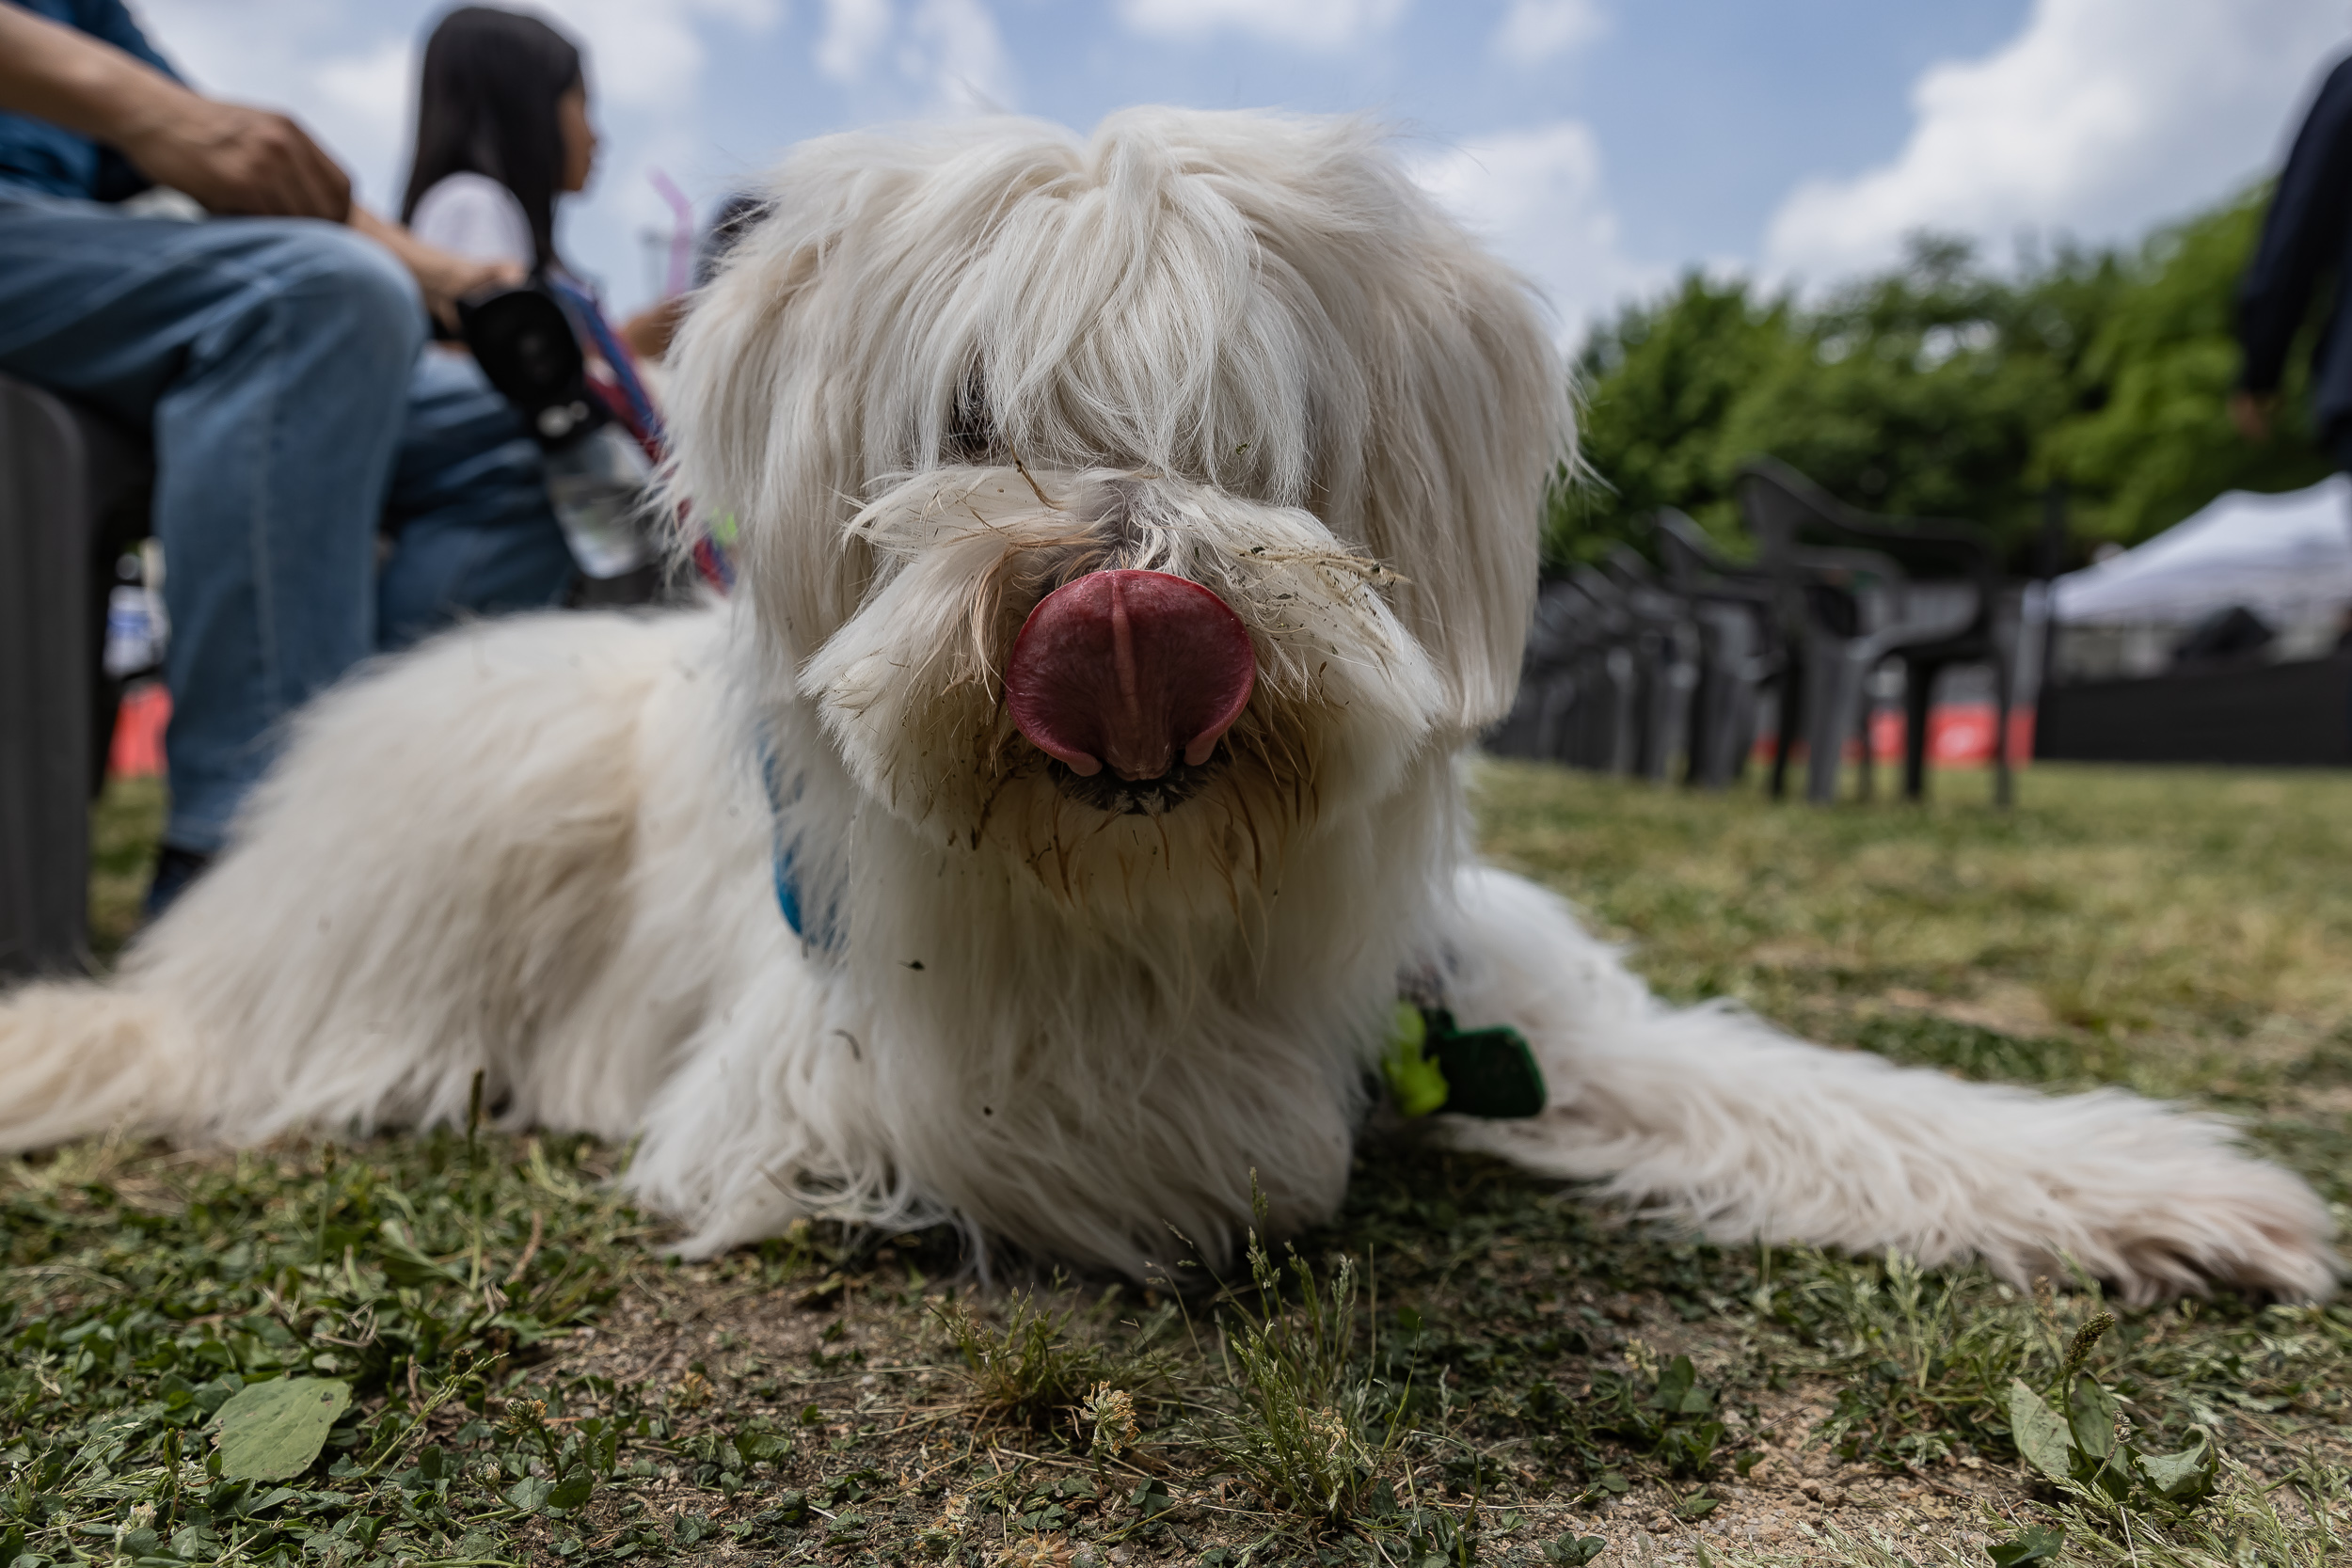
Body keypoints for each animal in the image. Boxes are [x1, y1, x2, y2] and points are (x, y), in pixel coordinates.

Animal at [0, 110, 2333, 1307]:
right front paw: (1277, 1129)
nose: (1127, 603)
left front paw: (2156, 1189)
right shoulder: (838, 1063)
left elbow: (1776, 1081)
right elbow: (1193, 1118)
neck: (1156, 893)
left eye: (1255, 439)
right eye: (965, 419)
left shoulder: (1486, 982)